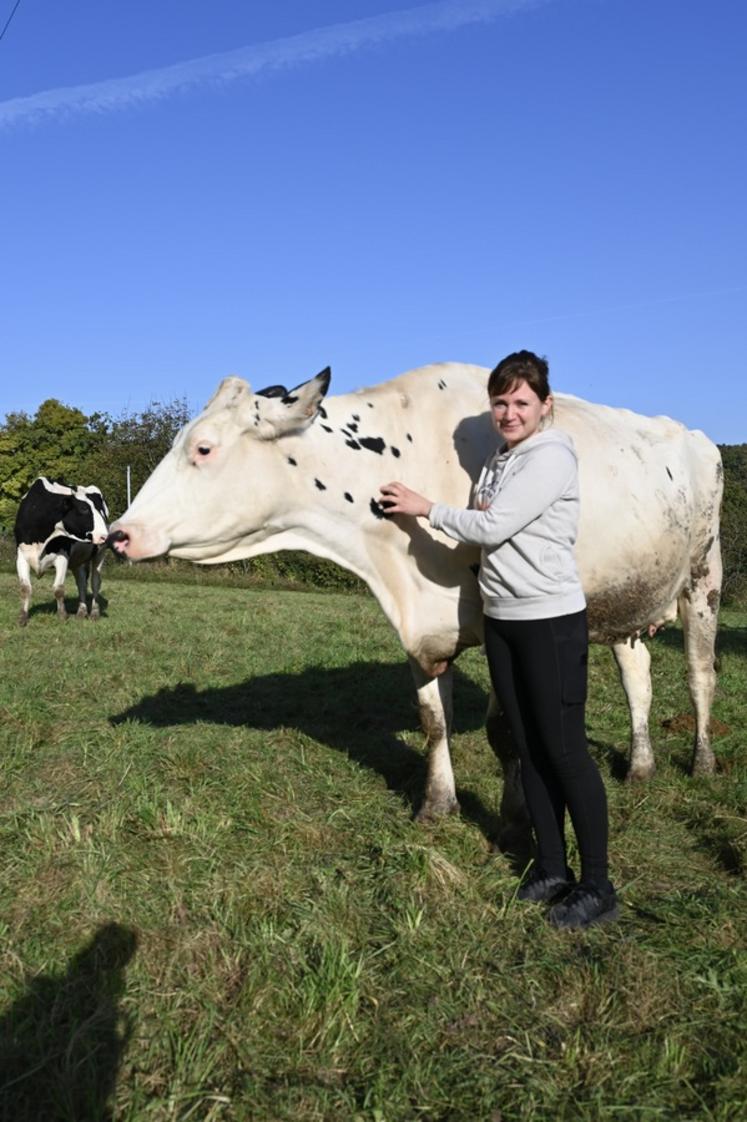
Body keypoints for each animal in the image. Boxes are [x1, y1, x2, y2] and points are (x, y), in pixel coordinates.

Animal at [15, 475, 109, 628]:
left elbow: (58, 589)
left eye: (99, 510)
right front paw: (22, 618)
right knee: (81, 582)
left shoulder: (62, 556)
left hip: (99, 553)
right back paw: (81, 612)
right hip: (77, 560)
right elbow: (25, 588)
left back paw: (94, 613)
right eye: (83, 509)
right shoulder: (22, 555)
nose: (104, 536)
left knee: (95, 582)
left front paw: (63, 616)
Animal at [107, 363, 717, 839]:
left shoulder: (501, 627)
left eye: (203, 448)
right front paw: (437, 806)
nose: (118, 534)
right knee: (637, 675)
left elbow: (505, 733)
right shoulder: (419, 630)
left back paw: (703, 762)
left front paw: (516, 814)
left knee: (699, 675)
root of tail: (695, 435)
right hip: (626, 599)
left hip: (703, 579)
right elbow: (432, 721)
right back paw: (640, 766)